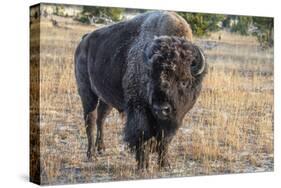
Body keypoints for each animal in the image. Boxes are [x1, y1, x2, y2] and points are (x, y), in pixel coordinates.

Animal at [74, 10, 206, 169]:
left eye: (184, 81)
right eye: (151, 77)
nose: (161, 108)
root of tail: (84, 40)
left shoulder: (171, 119)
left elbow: (165, 139)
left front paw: (165, 164)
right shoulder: (139, 110)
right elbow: (142, 135)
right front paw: (143, 165)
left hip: (106, 100)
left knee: (101, 118)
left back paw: (101, 149)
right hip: (87, 94)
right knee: (91, 121)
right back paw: (91, 154)